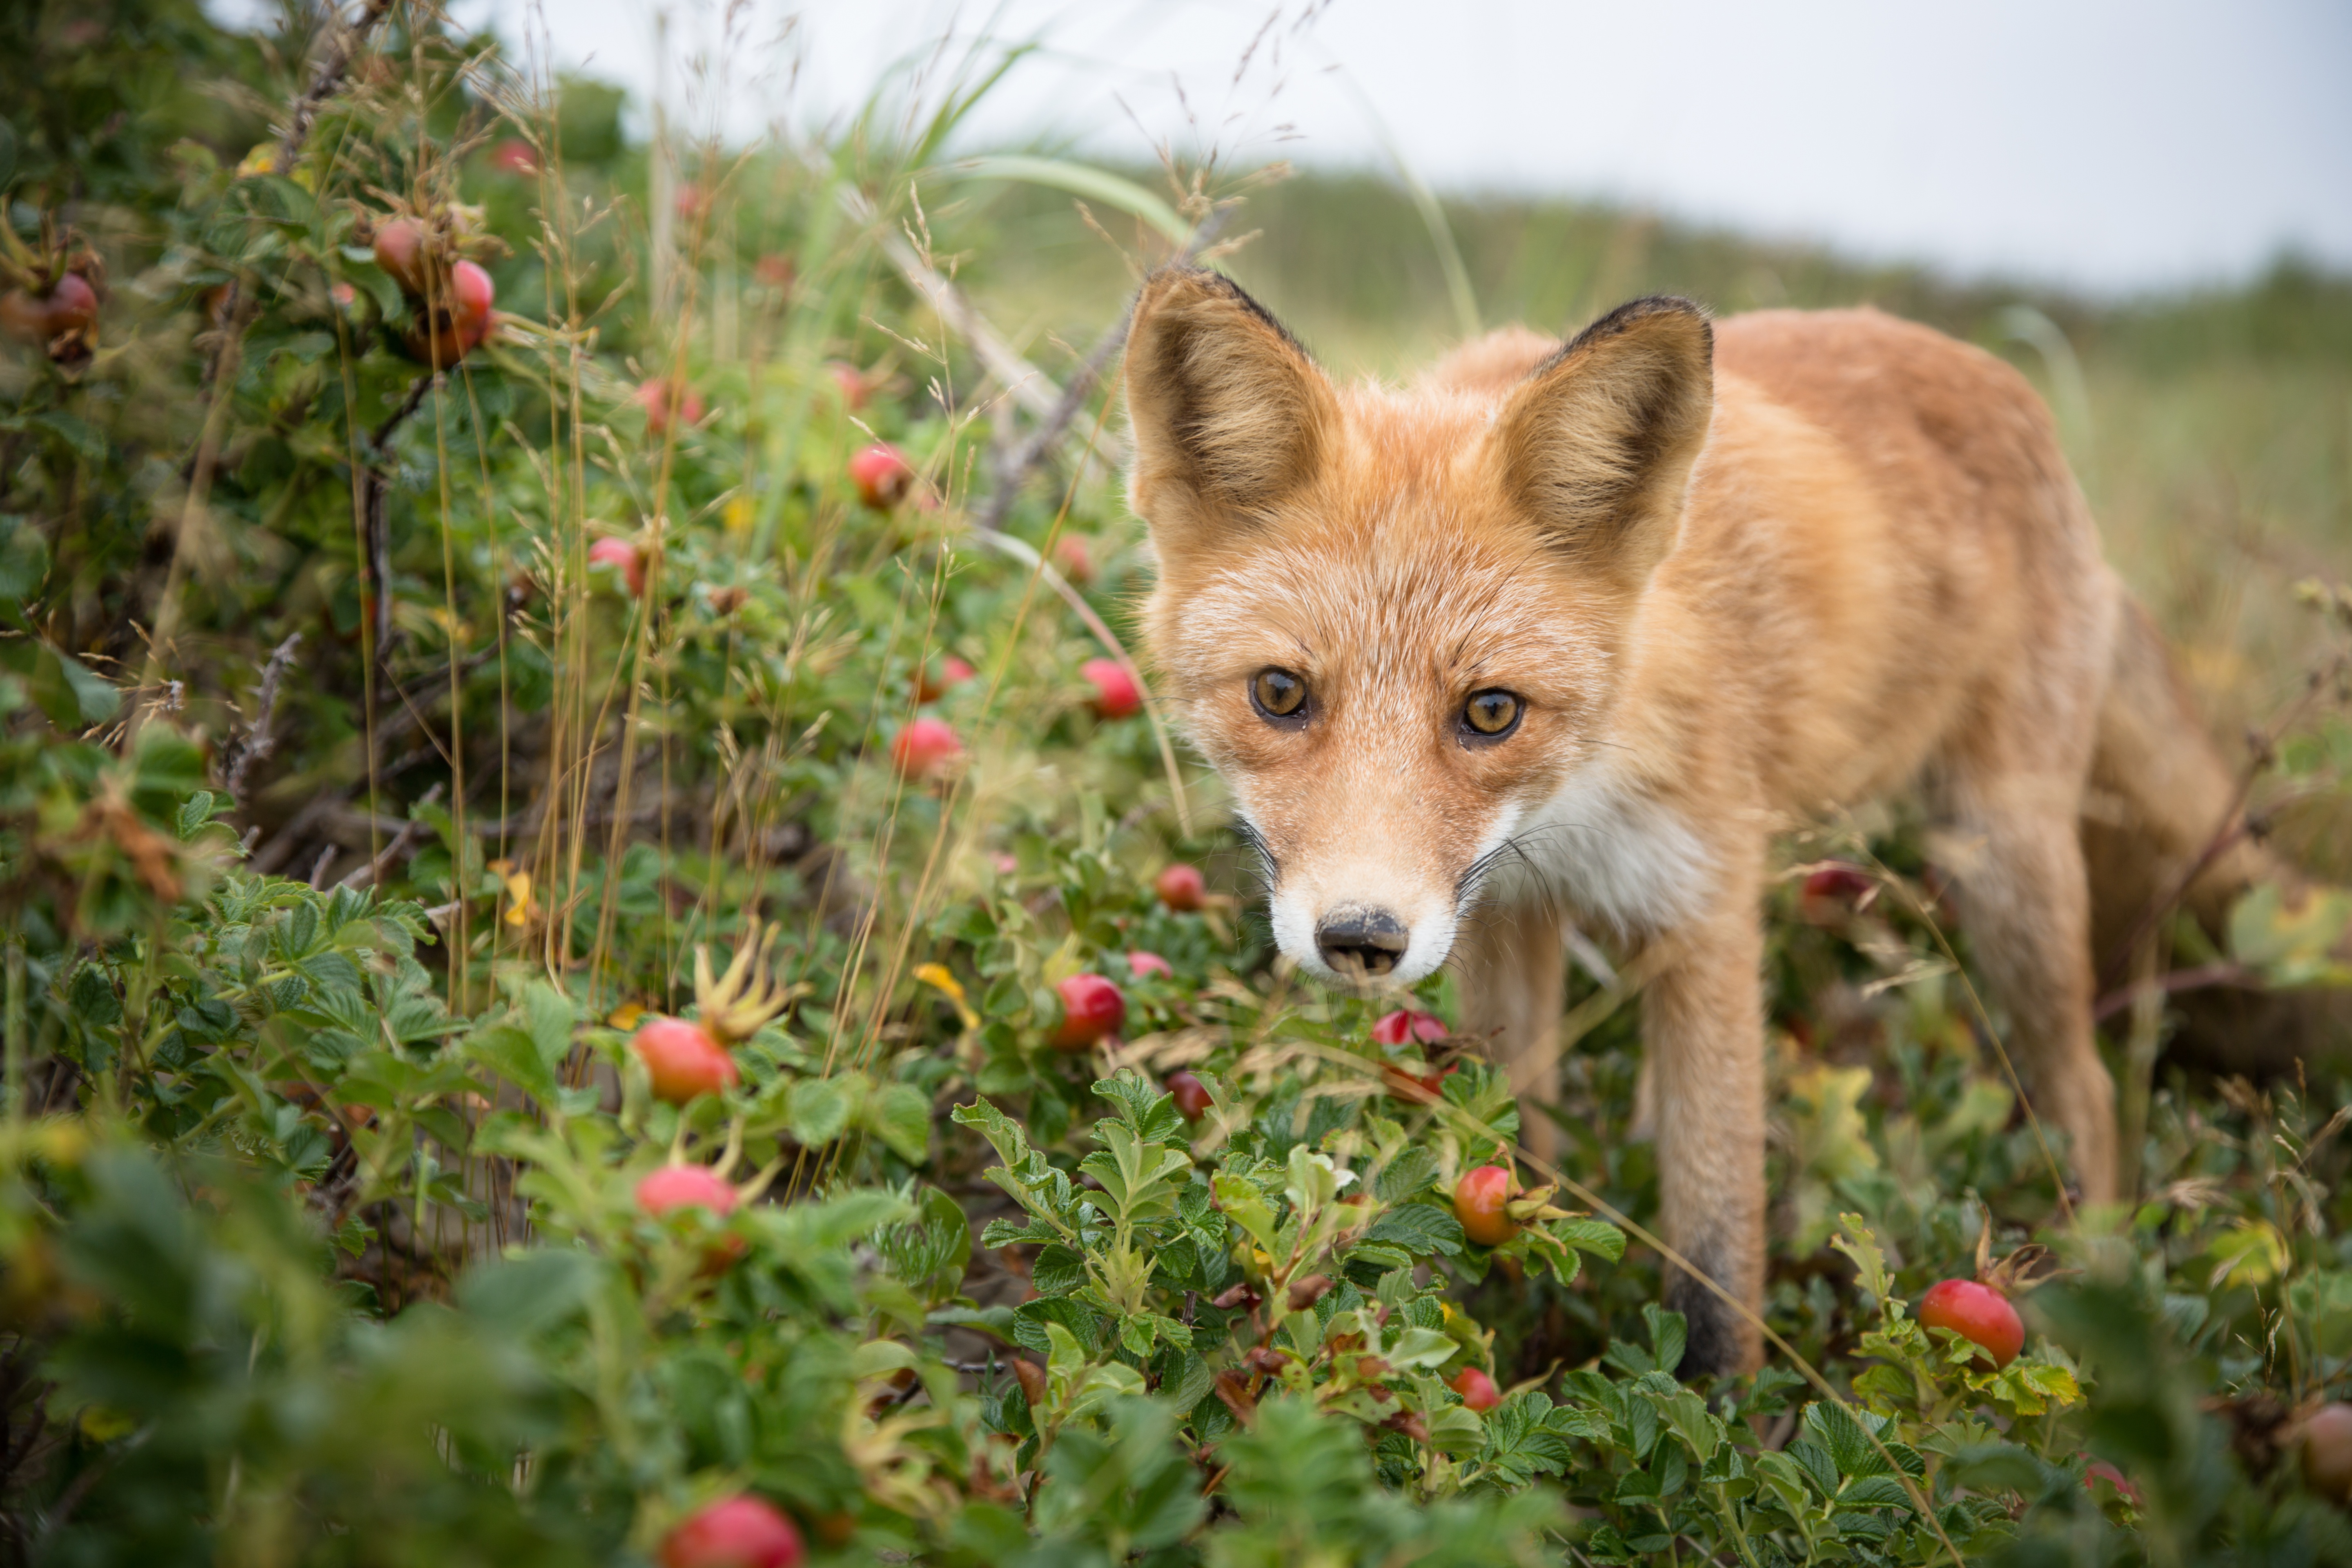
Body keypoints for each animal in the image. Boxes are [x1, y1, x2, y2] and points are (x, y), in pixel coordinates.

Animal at [1119, 276, 2276, 1382]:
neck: (1579, 801)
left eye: (1489, 711)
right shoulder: (1505, 914)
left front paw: (1717, 1416)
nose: (1362, 937)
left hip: (2003, 872)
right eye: (1280, 694)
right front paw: (1498, 1311)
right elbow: (1509, 1146)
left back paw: (2086, 1279)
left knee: (2087, 1087)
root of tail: (2001, 380)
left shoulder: (1707, 915)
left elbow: (1717, 1245)